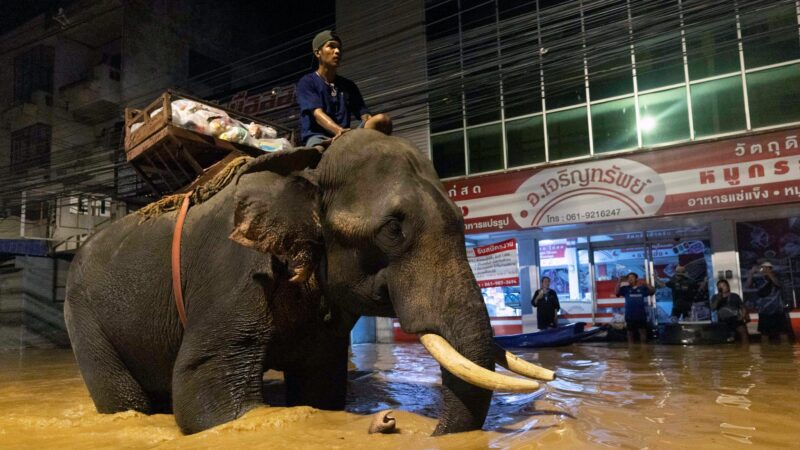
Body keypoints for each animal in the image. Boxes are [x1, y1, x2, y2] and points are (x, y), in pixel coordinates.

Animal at [62, 129, 552, 436]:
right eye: (393, 229)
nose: (415, 428)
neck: (310, 165)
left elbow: (320, 386)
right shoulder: (235, 271)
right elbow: (207, 396)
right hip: (82, 315)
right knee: (125, 399)